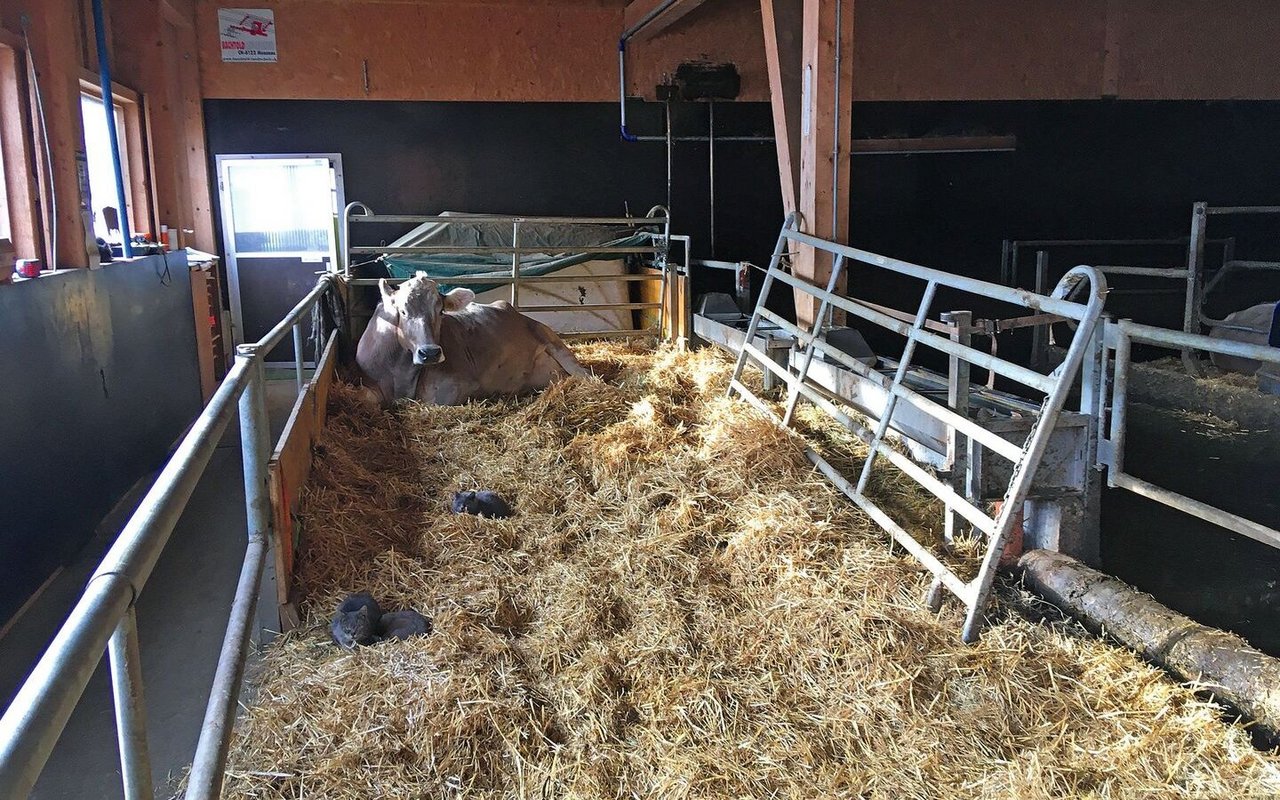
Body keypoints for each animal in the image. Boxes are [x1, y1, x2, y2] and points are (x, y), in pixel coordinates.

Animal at [355, 271, 586, 404]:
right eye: (402, 311)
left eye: (440, 311)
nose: (430, 353)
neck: (401, 374)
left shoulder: (458, 385)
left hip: (552, 340)